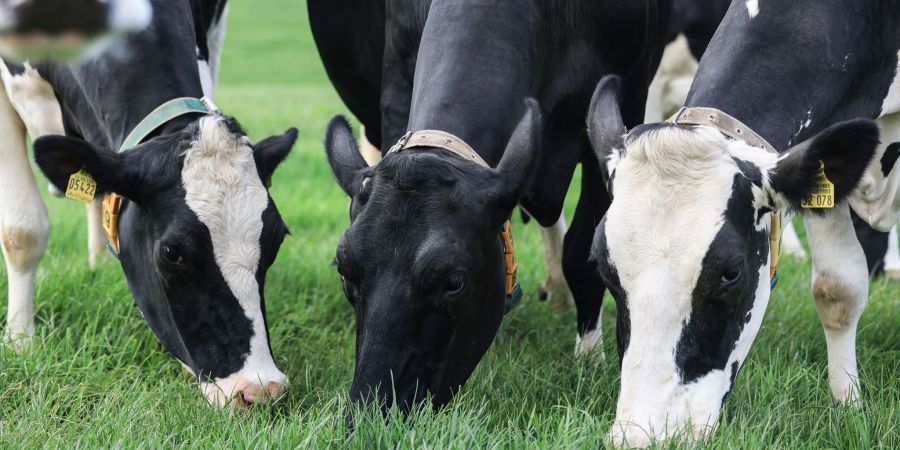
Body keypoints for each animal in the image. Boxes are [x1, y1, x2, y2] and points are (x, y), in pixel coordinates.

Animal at [312, 0, 672, 414]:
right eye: (344, 271)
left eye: (454, 282)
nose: (371, 409)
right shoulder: (395, 82)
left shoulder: (626, 100)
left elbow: (583, 255)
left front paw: (590, 359)